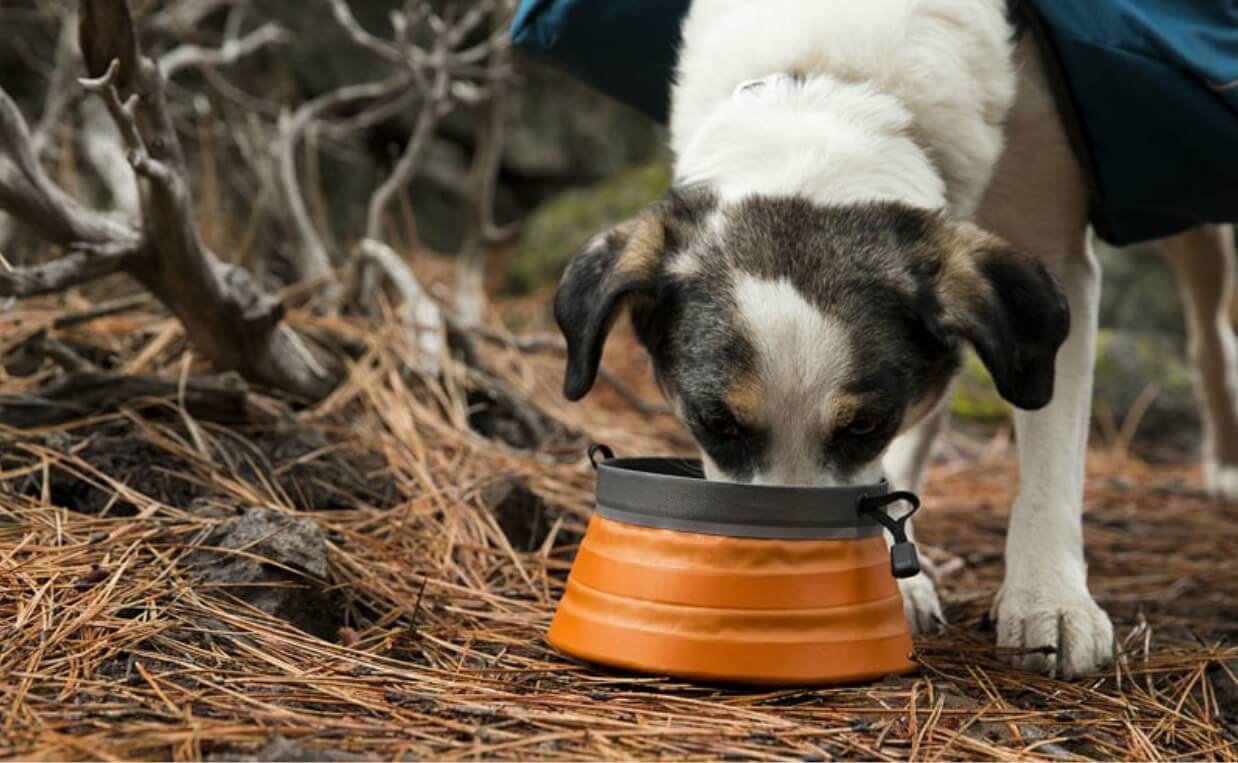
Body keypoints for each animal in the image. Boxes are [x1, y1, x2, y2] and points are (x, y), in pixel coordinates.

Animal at [552, 0, 1238, 678]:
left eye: (864, 425)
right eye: (715, 422)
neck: (835, 77)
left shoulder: (1055, 255)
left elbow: (1049, 456)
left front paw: (1050, 599)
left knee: (1211, 328)